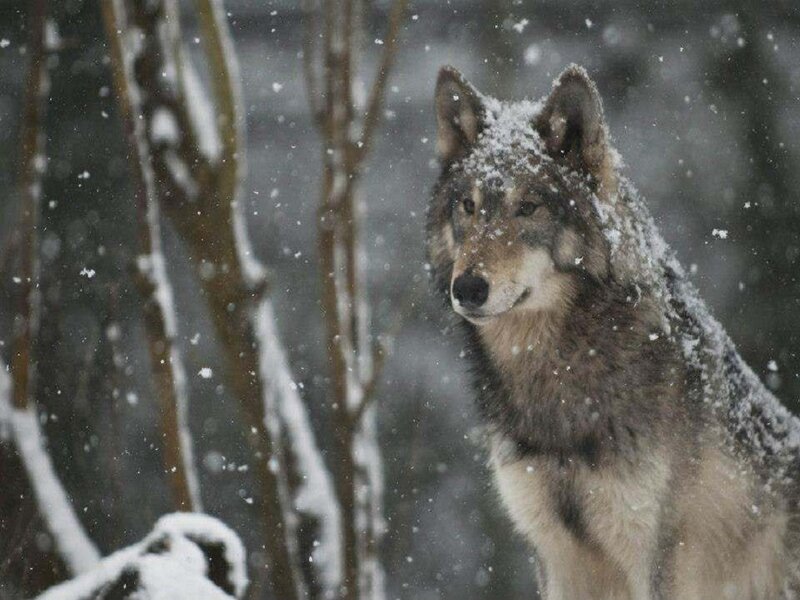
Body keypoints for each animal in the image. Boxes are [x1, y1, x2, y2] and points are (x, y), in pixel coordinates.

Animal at [426, 64, 800, 600]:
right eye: (468, 205)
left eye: (530, 206)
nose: (468, 288)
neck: (558, 380)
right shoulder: (556, 559)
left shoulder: (658, 559)